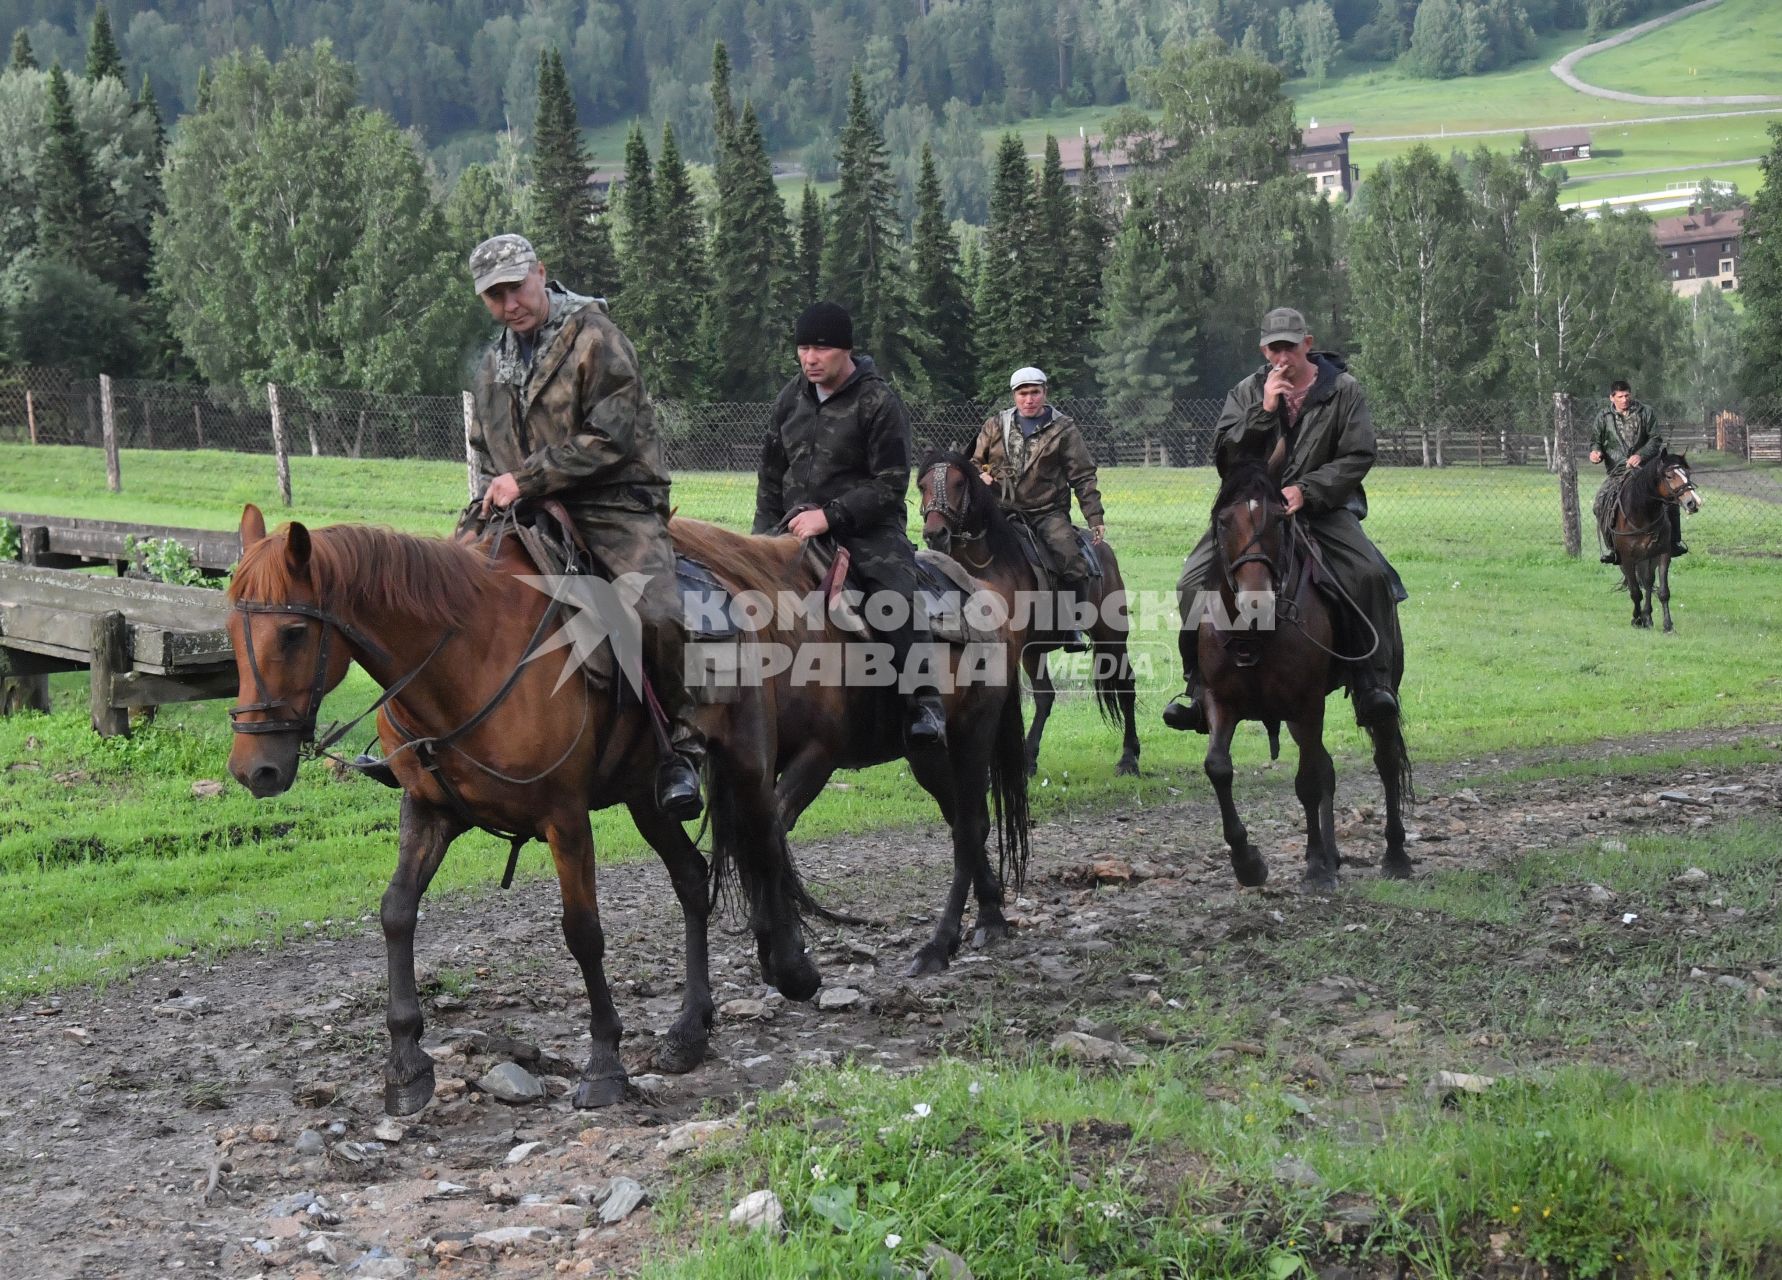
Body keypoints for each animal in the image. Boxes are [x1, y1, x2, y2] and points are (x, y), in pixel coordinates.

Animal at [220, 506, 819, 1119]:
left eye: (293, 634)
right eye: (230, 635)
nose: (253, 769)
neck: (468, 658)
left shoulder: (566, 819)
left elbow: (583, 932)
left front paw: (604, 1062)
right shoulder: (428, 811)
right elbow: (397, 912)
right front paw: (406, 1063)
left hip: (746, 767)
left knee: (766, 845)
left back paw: (792, 969)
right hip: (644, 796)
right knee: (693, 880)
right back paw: (689, 1031)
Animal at [670, 516, 1033, 976]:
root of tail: (985, 596)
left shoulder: (817, 757)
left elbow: (769, 832)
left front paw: (782, 951)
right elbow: (748, 841)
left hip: (974, 733)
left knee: (969, 826)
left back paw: (938, 945)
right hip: (928, 754)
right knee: (966, 821)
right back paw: (989, 917)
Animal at [919, 451, 1140, 777]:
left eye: (959, 483)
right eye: (922, 485)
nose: (935, 533)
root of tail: (1103, 550)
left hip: (1111, 636)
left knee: (1126, 686)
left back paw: (1129, 758)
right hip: (1034, 651)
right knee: (1046, 697)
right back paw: (1029, 757)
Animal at [1190, 433, 1411, 891]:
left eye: (1278, 519)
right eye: (1223, 521)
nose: (1256, 602)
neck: (1255, 634)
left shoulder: (1307, 704)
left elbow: (1308, 782)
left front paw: (1315, 868)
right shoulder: (1221, 701)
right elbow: (1218, 767)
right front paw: (1248, 863)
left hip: (1374, 697)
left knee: (1384, 760)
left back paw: (1395, 855)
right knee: (1327, 765)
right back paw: (1330, 853)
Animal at [1610, 449, 1703, 634]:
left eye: (1687, 474)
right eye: (1669, 476)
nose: (1693, 503)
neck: (1642, 516)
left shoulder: (1662, 554)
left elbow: (1663, 591)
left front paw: (1668, 625)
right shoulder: (1628, 559)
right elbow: (1635, 592)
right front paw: (1636, 620)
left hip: (1648, 559)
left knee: (1647, 582)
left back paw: (1648, 617)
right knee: (1638, 585)